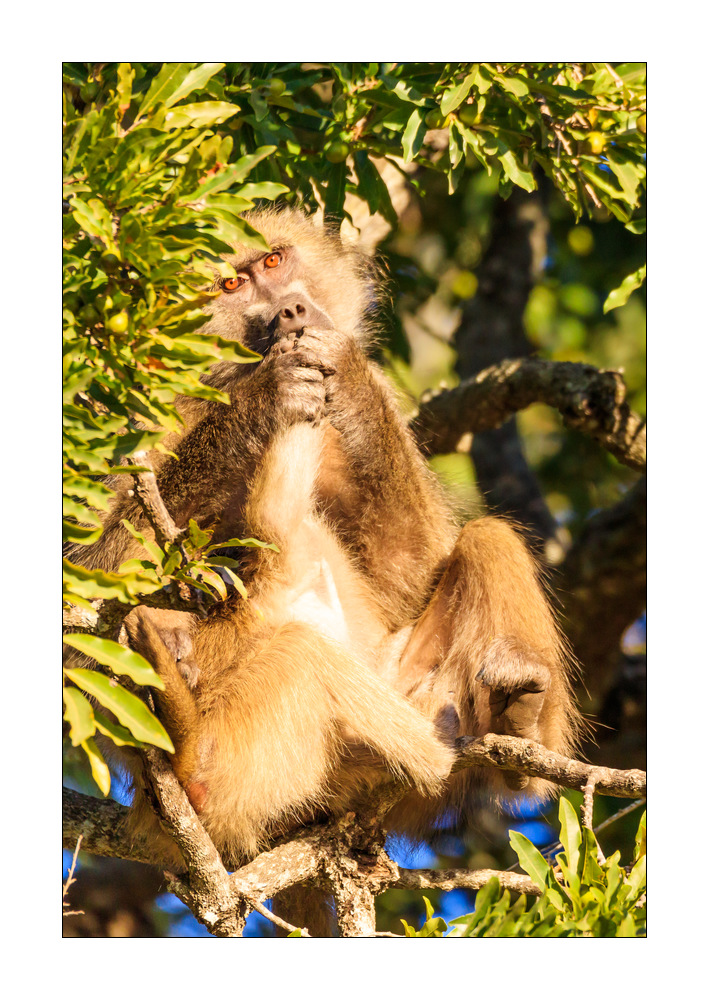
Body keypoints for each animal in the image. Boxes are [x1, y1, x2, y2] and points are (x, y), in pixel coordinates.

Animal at [65, 206, 580, 930]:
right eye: (231, 282)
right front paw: (257, 398)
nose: (289, 310)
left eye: (275, 261)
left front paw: (342, 366)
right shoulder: (125, 409)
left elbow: (411, 573)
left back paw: (518, 730)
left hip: (415, 690)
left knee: (483, 540)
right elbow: (86, 593)